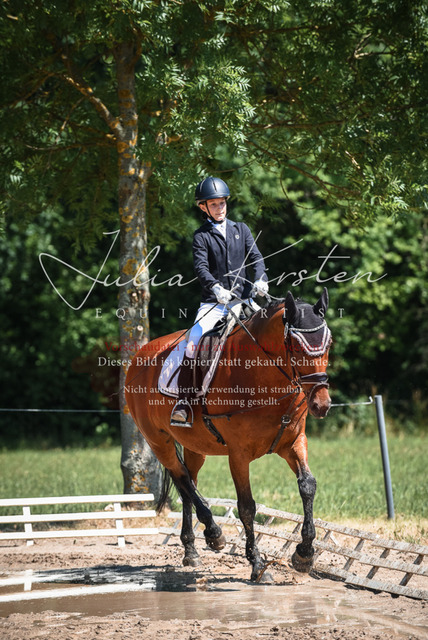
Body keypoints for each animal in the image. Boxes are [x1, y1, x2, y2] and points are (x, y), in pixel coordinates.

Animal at [125, 288, 332, 581]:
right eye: (295, 345)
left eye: (328, 343)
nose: (321, 405)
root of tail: (139, 355)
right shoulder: (238, 454)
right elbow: (246, 506)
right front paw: (257, 564)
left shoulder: (292, 442)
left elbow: (308, 486)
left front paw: (304, 554)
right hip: (158, 441)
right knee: (183, 480)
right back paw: (214, 534)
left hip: (194, 445)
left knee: (187, 484)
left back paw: (191, 551)